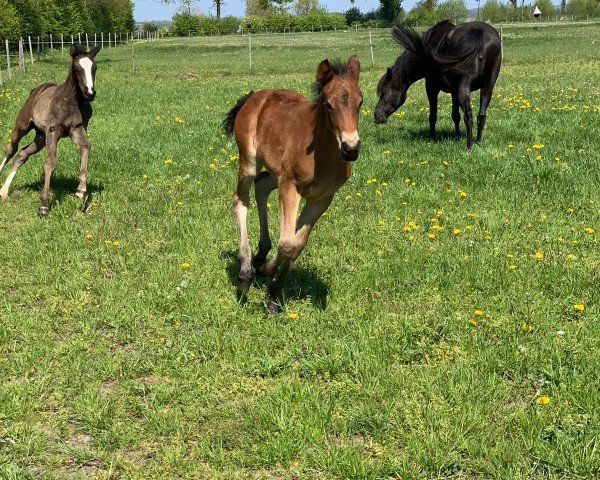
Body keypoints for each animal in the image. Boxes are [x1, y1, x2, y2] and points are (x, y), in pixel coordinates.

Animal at [0, 43, 101, 214]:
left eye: (94, 68)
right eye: (76, 68)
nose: (90, 93)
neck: (71, 102)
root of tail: (36, 90)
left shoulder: (77, 129)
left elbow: (85, 147)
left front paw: (81, 190)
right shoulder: (53, 131)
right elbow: (50, 162)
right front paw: (44, 204)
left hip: (41, 137)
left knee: (22, 154)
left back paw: (4, 191)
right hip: (23, 126)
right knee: (11, 149)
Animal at [225, 55, 364, 316]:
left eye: (360, 102)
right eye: (327, 104)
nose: (351, 148)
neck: (321, 155)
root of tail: (254, 97)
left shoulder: (322, 198)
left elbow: (297, 244)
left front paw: (273, 297)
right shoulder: (291, 187)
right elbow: (287, 242)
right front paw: (266, 271)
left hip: (275, 172)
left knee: (262, 186)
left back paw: (261, 254)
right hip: (249, 162)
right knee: (240, 199)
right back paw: (246, 271)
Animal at [376, 21, 502, 149]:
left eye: (384, 92)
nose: (376, 116)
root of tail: (479, 32)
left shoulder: (432, 88)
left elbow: (433, 115)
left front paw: (432, 138)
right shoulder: (454, 91)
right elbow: (455, 115)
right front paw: (457, 136)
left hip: (464, 88)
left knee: (468, 116)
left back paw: (469, 146)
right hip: (487, 88)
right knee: (481, 116)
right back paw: (478, 142)